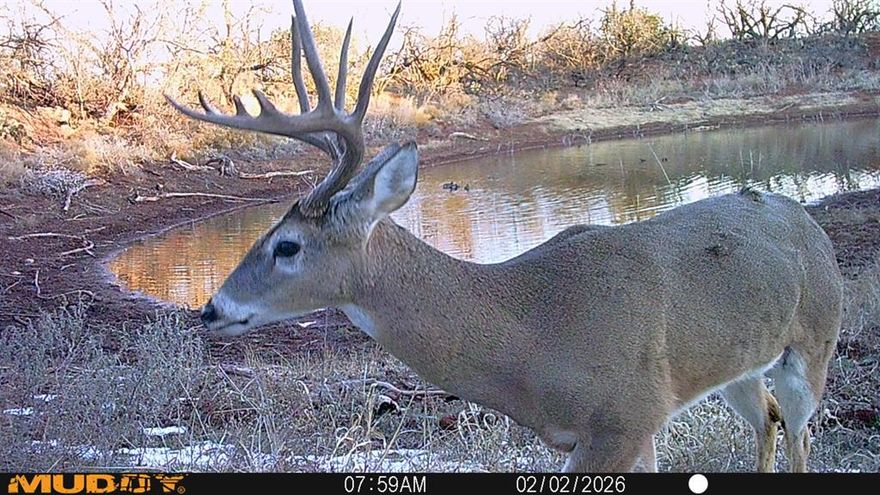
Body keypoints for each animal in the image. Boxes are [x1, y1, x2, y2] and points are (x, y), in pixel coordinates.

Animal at [167, 0, 843, 473]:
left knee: (801, 431)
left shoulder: (627, 415)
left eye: (287, 245)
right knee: (768, 422)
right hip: (737, 368)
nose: (210, 309)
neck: (534, 333)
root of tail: (806, 220)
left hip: (813, 346)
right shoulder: (622, 427)